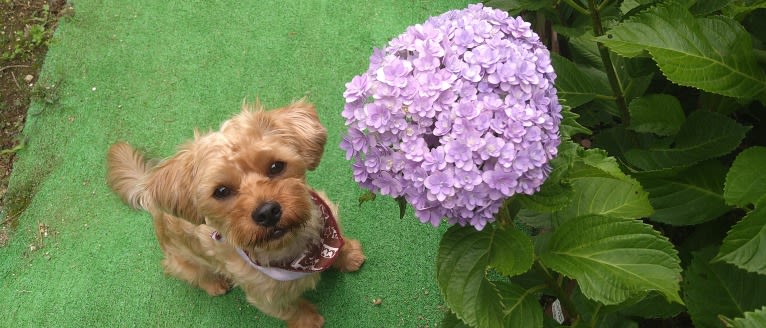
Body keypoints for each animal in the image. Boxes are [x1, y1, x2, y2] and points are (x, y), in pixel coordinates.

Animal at [106, 100, 368, 328]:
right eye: (221, 191)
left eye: (276, 166)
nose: (267, 212)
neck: (293, 250)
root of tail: (149, 195)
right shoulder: (265, 297)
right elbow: (291, 309)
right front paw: (308, 320)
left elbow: (339, 245)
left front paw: (349, 255)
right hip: (181, 261)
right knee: (192, 273)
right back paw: (214, 284)